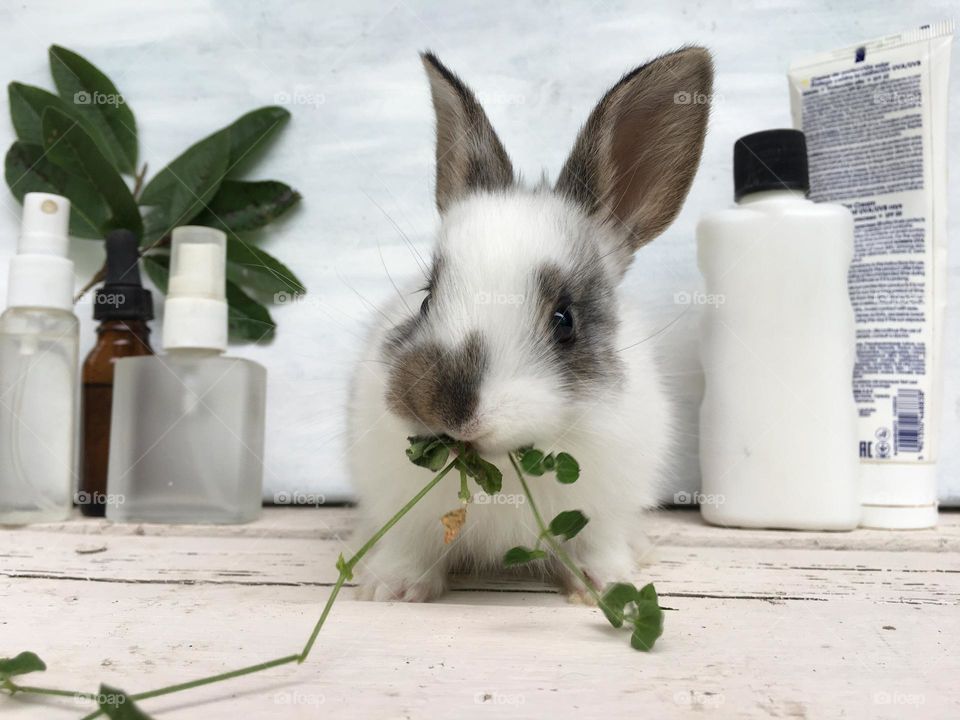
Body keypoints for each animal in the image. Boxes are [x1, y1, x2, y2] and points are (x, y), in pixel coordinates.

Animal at [348, 47, 708, 600]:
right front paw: (391, 588)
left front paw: (606, 584)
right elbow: (411, 545)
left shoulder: (602, 510)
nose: (440, 406)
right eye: (426, 300)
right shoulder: (406, 515)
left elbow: (597, 546)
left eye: (565, 320)